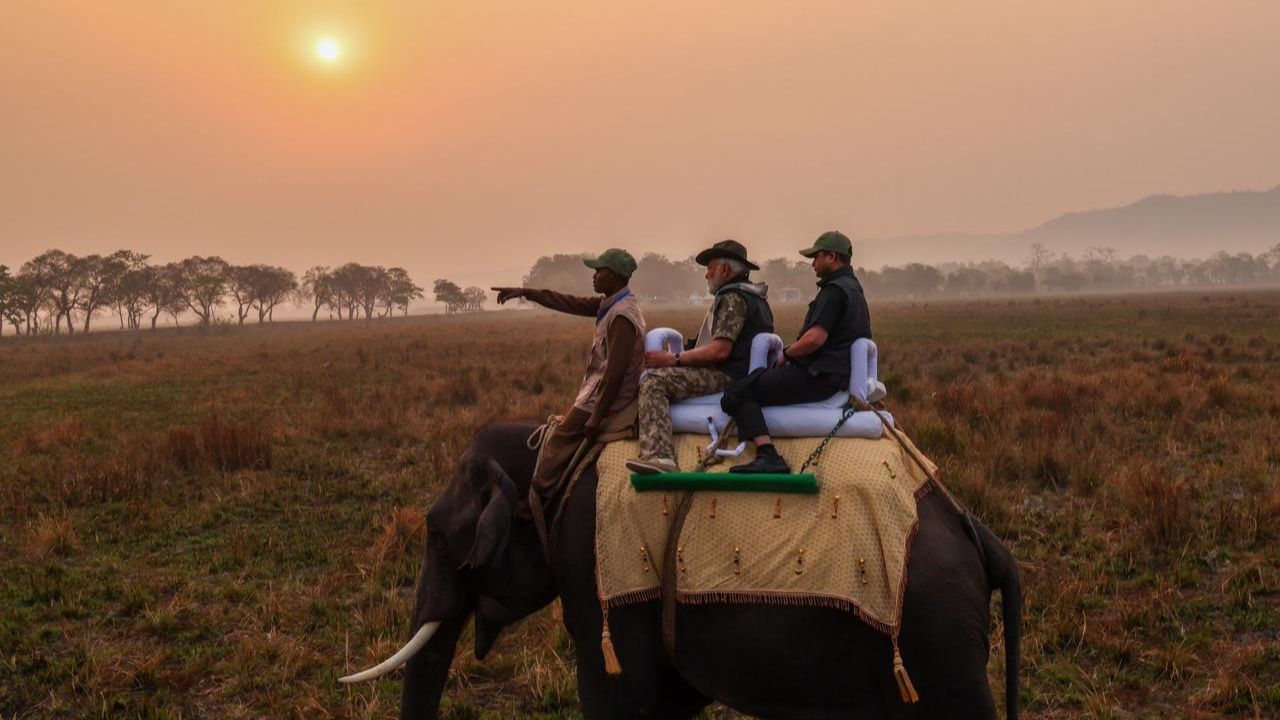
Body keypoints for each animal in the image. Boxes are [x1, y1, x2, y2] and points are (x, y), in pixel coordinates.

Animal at [340, 420, 1018, 717]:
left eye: (435, 532)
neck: (552, 451)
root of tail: (976, 531)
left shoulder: (594, 566)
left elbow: (619, 698)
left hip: (937, 636)